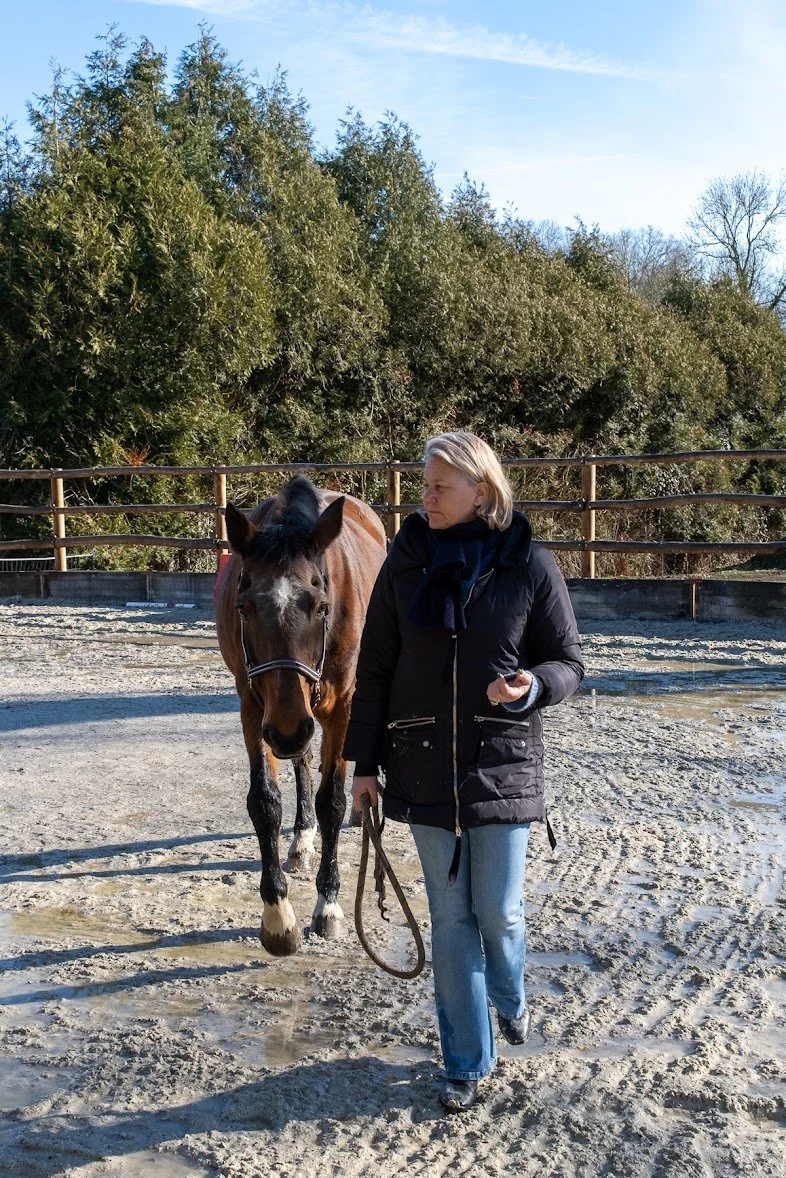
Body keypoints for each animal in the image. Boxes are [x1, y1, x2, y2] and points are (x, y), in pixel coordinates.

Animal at [215, 475, 387, 956]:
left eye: (321, 607)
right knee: (303, 764)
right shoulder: (255, 706)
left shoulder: (343, 707)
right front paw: (277, 915)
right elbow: (264, 802)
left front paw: (328, 905)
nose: (289, 731)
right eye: (244, 607)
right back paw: (302, 839)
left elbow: (333, 801)